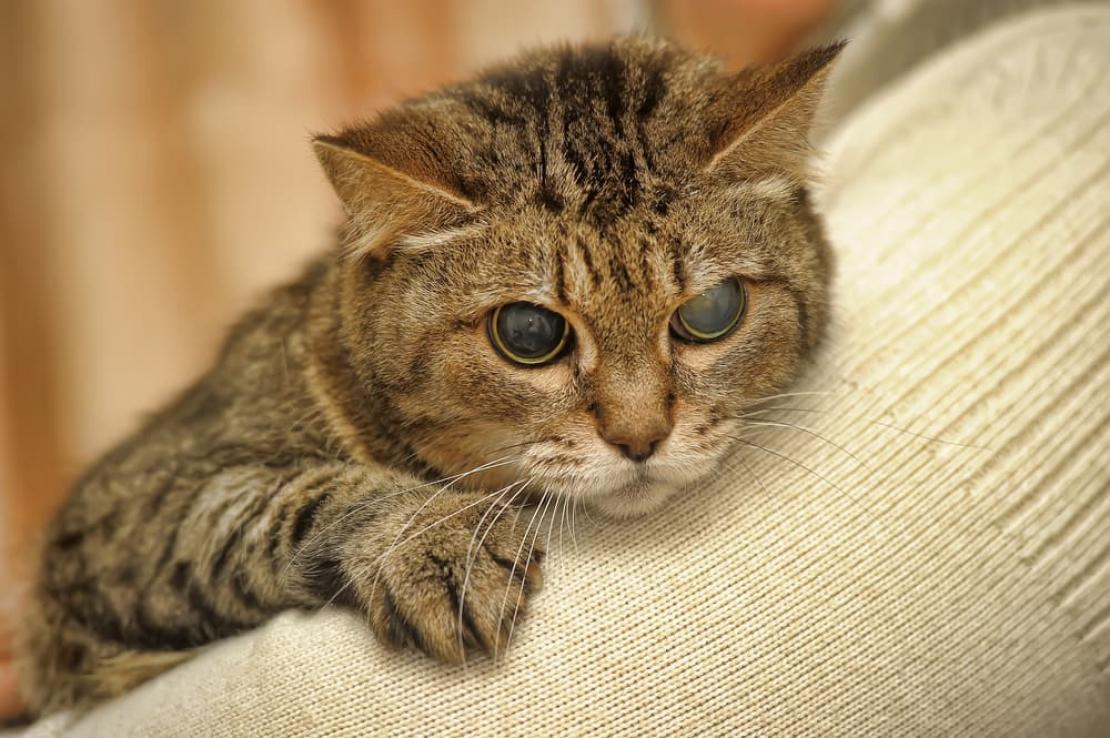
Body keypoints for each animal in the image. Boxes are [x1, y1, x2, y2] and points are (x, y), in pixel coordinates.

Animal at [15, 36, 839, 714]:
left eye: (710, 311)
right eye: (529, 333)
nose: (641, 438)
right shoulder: (120, 516)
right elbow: (265, 501)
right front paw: (430, 538)